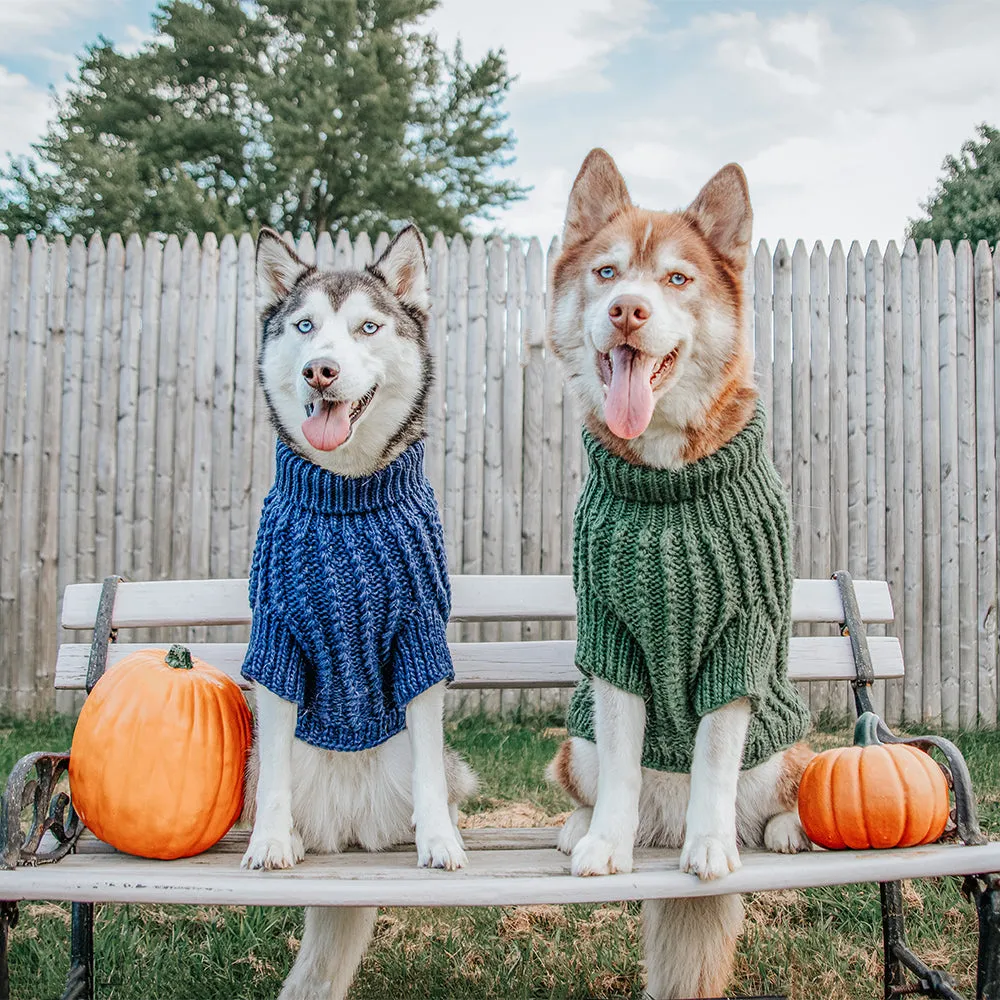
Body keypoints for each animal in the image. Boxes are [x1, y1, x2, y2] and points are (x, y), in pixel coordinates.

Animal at [241, 227, 476, 1000]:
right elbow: (276, 773)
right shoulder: (277, 636)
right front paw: (269, 840)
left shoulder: (420, 636)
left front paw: (440, 841)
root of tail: (350, 833)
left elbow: (430, 759)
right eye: (304, 326)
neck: (346, 495)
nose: (321, 370)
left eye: (368, 328)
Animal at [548, 150, 812, 1000]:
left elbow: (714, 757)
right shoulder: (612, 638)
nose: (627, 311)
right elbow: (624, 763)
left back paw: (782, 830)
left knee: (785, 787)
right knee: (600, 779)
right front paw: (605, 844)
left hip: (788, 743)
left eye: (675, 279)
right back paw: (579, 829)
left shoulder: (742, 638)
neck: (669, 481)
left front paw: (710, 846)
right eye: (606, 272)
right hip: (574, 743)